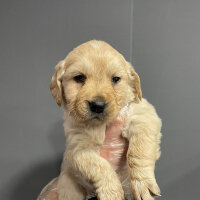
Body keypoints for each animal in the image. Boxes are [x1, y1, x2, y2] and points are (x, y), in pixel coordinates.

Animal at [50, 40, 162, 200]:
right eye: (79, 78)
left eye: (115, 79)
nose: (98, 105)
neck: (100, 124)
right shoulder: (77, 147)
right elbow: (98, 166)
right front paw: (112, 192)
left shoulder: (143, 115)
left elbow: (138, 151)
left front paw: (142, 183)